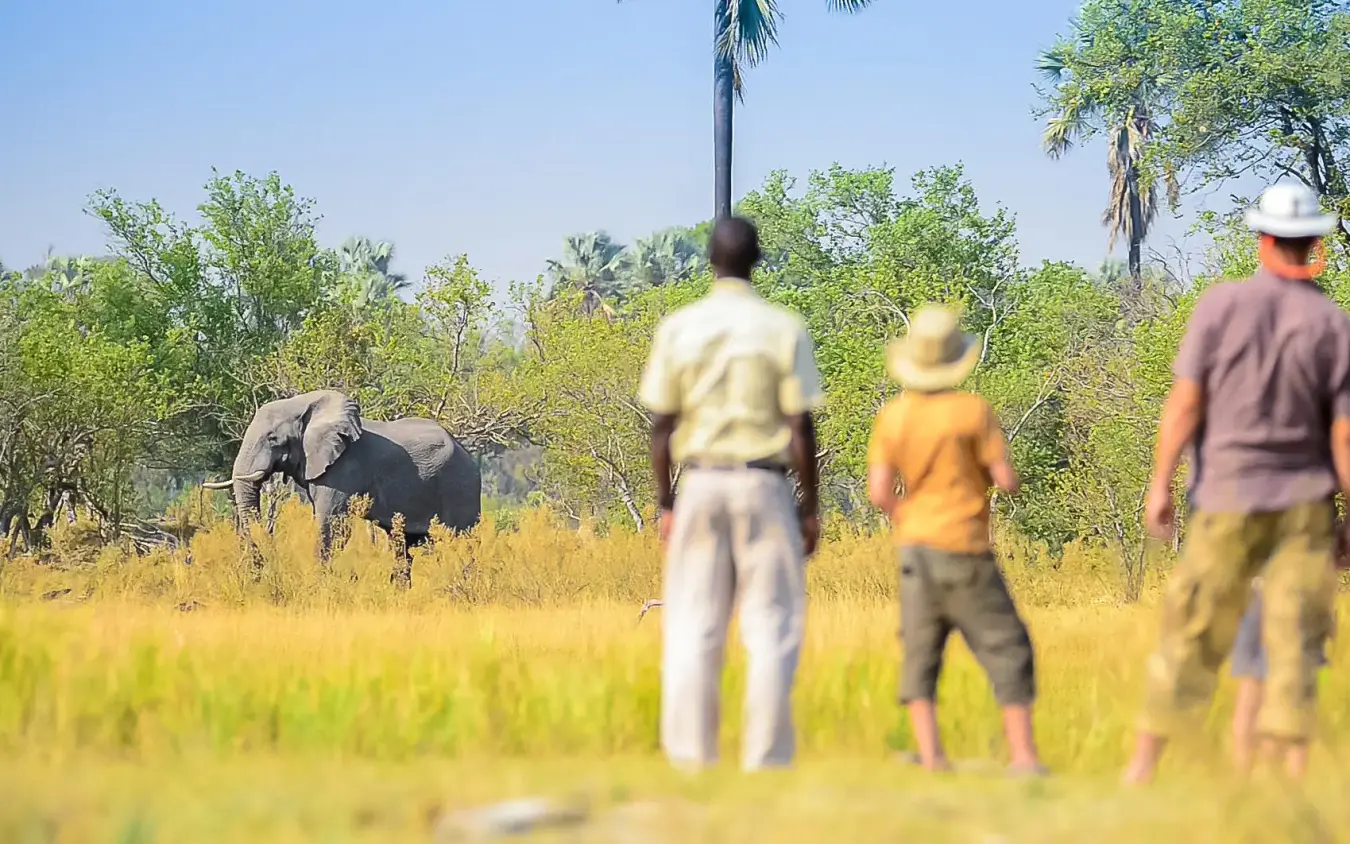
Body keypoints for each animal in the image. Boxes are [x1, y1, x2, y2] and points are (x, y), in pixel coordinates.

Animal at [202, 390, 481, 577]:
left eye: (273, 438)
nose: (261, 570)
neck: (305, 405)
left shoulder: (344, 468)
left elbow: (331, 524)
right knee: (402, 545)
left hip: (461, 487)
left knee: (460, 543)